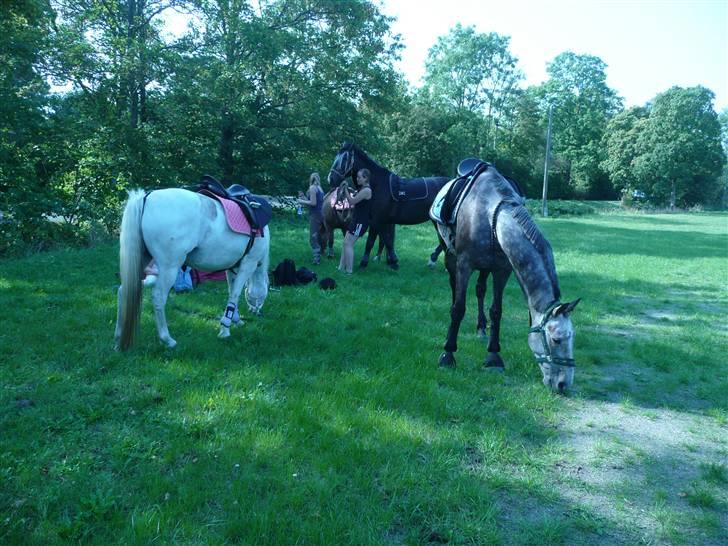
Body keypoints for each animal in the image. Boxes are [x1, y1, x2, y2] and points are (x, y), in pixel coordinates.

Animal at [114, 187, 270, 348]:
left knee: (123, 290)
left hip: (143, 262)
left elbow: (231, 291)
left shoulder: (231, 268)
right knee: (158, 297)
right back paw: (167, 339)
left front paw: (236, 320)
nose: (258, 313)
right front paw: (225, 330)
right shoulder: (248, 264)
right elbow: (235, 294)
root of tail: (146, 198)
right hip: (169, 268)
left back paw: (118, 337)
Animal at [328, 140, 450, 268]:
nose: (331, 179)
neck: (378, 185)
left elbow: (371, 241)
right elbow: (387, 240)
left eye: (345, 159)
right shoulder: (384, 221)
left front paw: (364, 263)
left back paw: (433, 259)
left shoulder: (376, 220)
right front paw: (393, 261)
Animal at [436, 162, 584, 392]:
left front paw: (493, 357)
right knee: (455, 287)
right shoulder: (464, 265)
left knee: (480, 290)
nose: (563, 384)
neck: (492, 216)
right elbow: (458, 309)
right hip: (448, 253)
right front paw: (448, 355)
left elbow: (496, 311)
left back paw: (481, 328)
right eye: (556, 339)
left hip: (485, 268)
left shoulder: (502, 270)